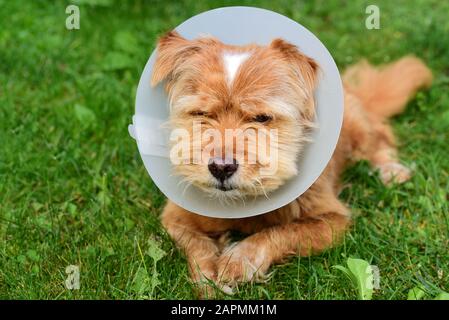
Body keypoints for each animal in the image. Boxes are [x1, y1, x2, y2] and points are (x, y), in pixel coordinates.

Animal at [150, 31, 430, 296]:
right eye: (201, 114)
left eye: (262, 118)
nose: (221, 167)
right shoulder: (174, 218)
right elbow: (197, 246)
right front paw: (208, 281)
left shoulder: (333, 221)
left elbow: (282, 232)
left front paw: (239, 260)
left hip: (357, 126)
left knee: (378, 138)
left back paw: (391, 170)